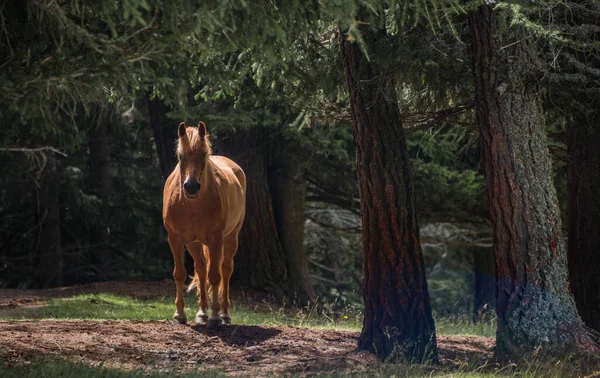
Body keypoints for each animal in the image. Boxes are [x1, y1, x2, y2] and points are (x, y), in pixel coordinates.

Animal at [162, 122, 246, 328]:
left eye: (204, 154)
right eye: (180, 155)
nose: (191, 186)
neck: (192, 205)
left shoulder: (215, 240)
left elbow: (215, 276)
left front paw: (215, 317)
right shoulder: (175, 239)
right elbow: (180, 274)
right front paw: (179, 315)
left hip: (230, 238)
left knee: (225, 269)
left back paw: (224, 314)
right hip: (194, 243)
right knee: (201, 270)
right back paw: (201, 313)